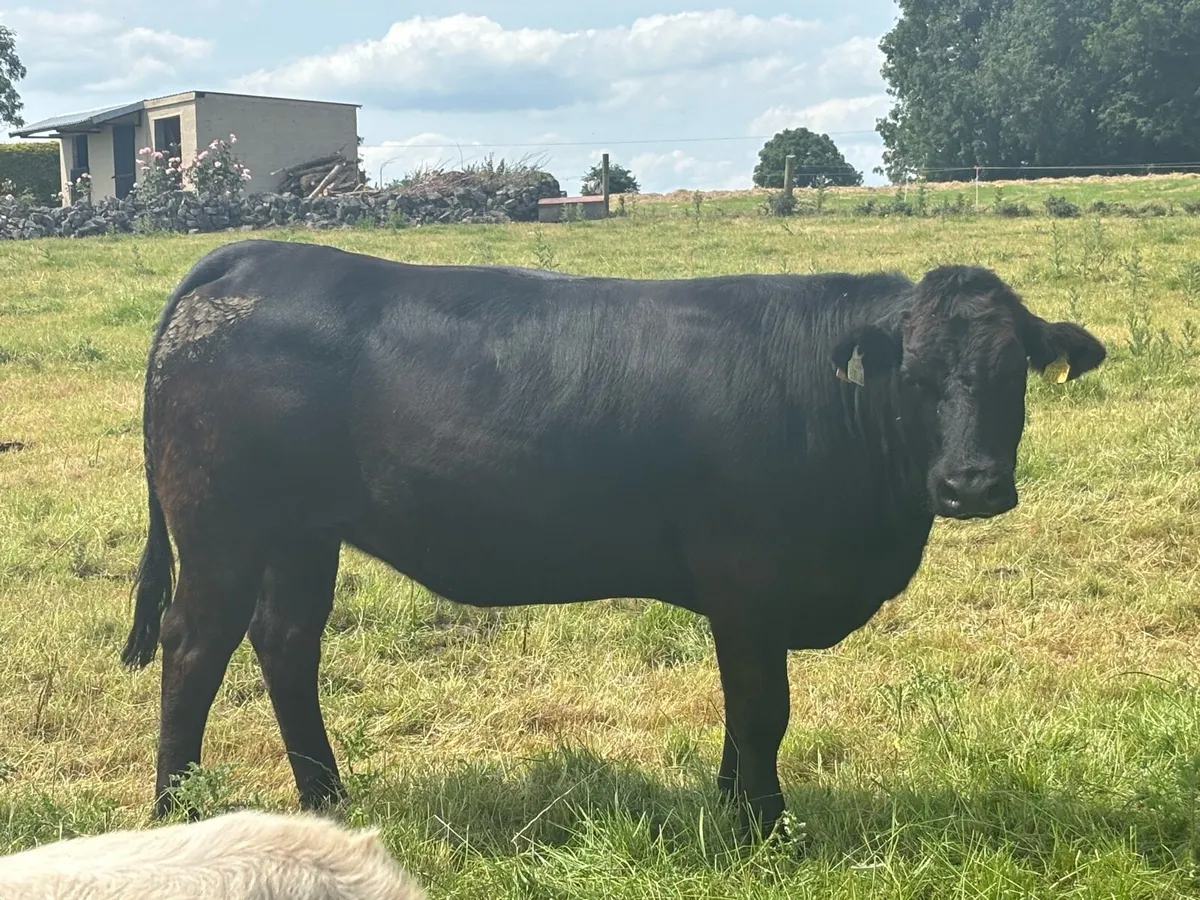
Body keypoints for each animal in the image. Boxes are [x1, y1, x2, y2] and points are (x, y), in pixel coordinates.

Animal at [120, 238, 1105, 839]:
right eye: (917, 374)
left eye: (1014, 371)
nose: (971, 484)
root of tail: (259, 256)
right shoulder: (750, 583)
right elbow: (763, 711)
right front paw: (766, 831)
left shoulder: (744, 603)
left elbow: (742, 718)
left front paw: (730, 808)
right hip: (222, 529)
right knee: (193, 646)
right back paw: (178, 811)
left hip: (302, 534)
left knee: (286, 642)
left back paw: (328, 799)